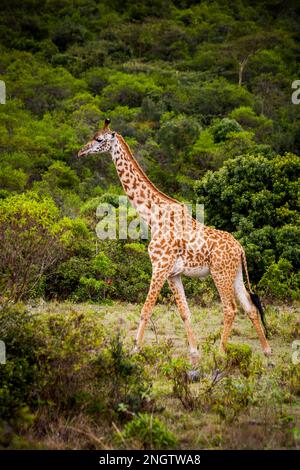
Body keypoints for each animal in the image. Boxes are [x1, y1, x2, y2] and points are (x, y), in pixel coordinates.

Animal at [78, 119, 270, 362]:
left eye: (99, 139)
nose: (81, 151)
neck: (153, 216)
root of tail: (241, 248)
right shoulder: (173, 273)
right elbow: (184, 311)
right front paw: (194, 351)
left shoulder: (159, 266)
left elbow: (146, 308)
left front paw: (134, 349)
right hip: (235, 274)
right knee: (250, 308)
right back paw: (267, 351)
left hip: (220, 273)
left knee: (230, 308)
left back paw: (220, 352)